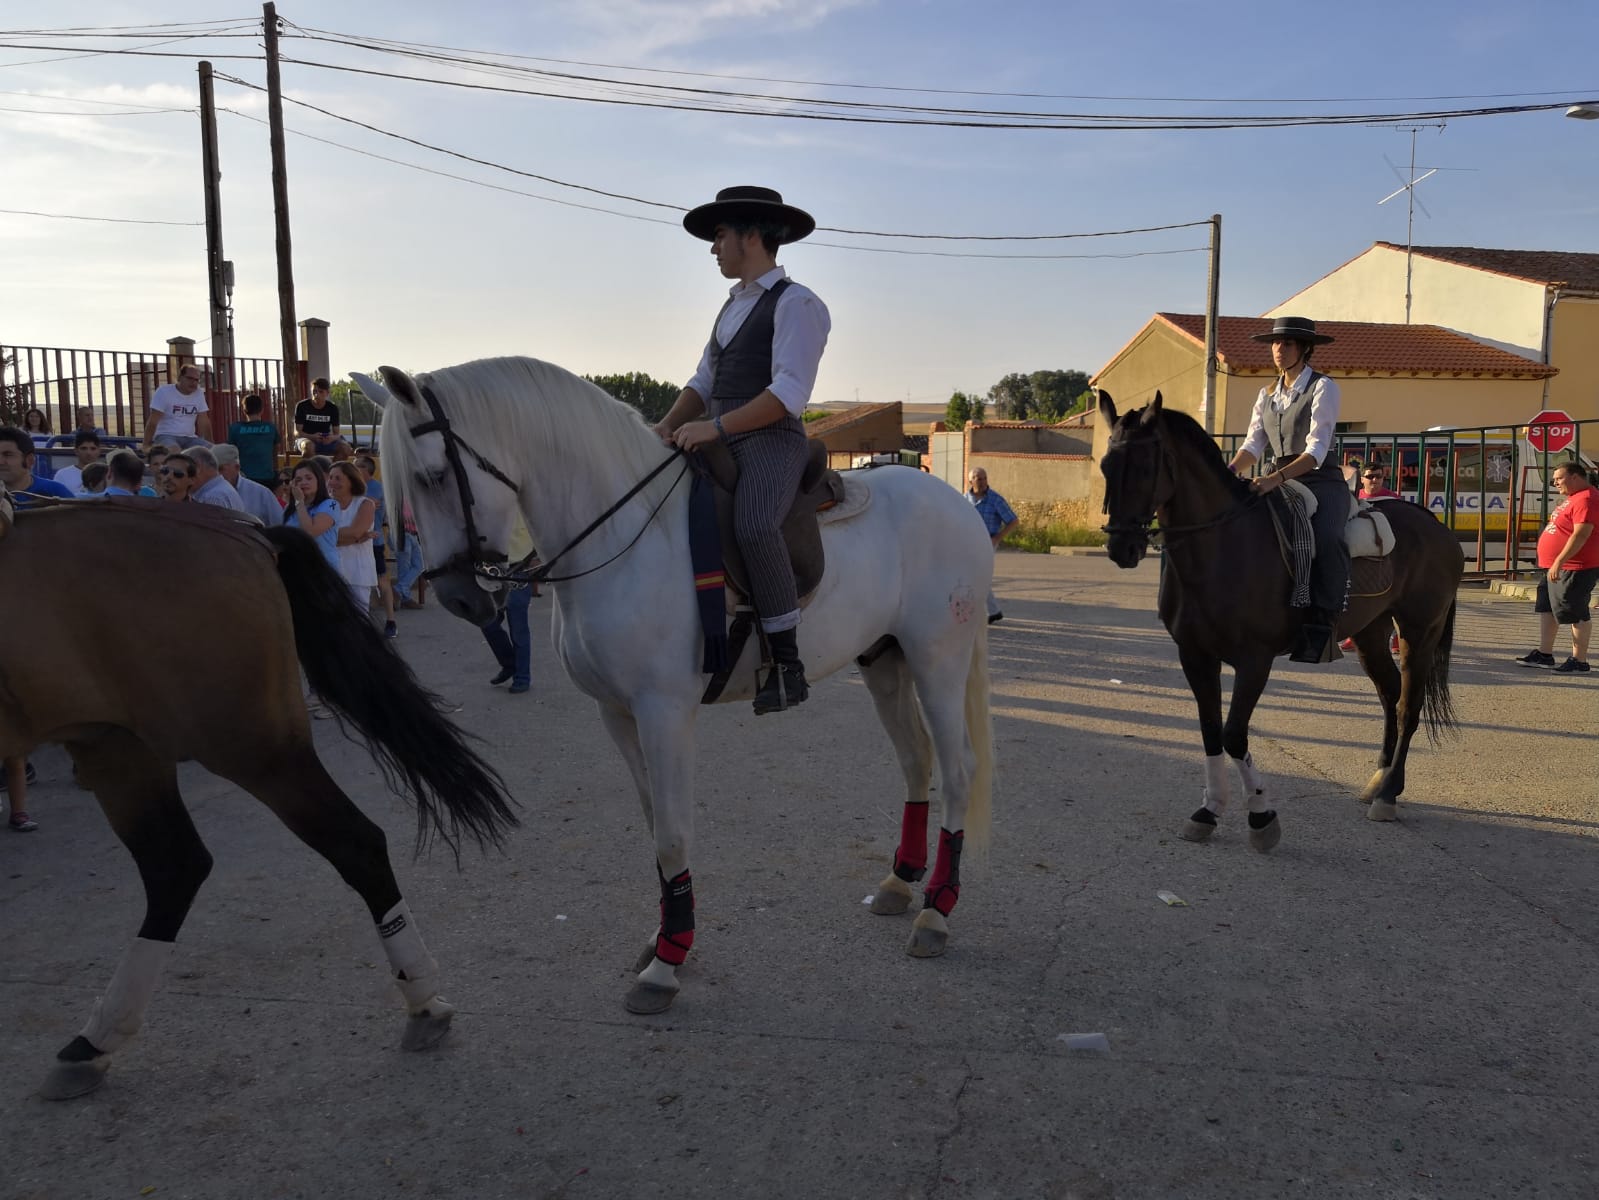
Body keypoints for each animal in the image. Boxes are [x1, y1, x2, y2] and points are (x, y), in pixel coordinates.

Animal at [0, 496, 514, 1100]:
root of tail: (248, 535)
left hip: (241, 743)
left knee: (350, 843)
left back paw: (423, 1000)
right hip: (116, 743)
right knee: (176, 866)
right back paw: (94, 1041)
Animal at [358, 356, 991, 1017]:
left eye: (432, 477)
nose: (458, 598)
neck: (623, 535)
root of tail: (955, 502)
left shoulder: (664, 713)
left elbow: (671, 834)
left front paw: (666, 964)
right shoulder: (618, 714)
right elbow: (654, 826)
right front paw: (667, 936)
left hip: (938, 661)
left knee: (958, 770)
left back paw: (937, 913)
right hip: (884, 660)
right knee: (916, 761)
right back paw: (900, 882)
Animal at [1100, 390, 1464, 851]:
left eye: (1146, 466)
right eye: (1105, 465)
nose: (1121, 548)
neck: (1221, 547)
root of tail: (1436, 524)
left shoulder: (1254, 660)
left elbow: (1234, 734)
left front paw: (1260, 817)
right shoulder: (1195, 655)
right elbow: (1210, 730)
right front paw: (1208, 811)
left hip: (1419, 632)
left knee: (1406, 707)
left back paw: (1387, 796)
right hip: (1371, 634)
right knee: (1389, 694)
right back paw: (1380, 781)